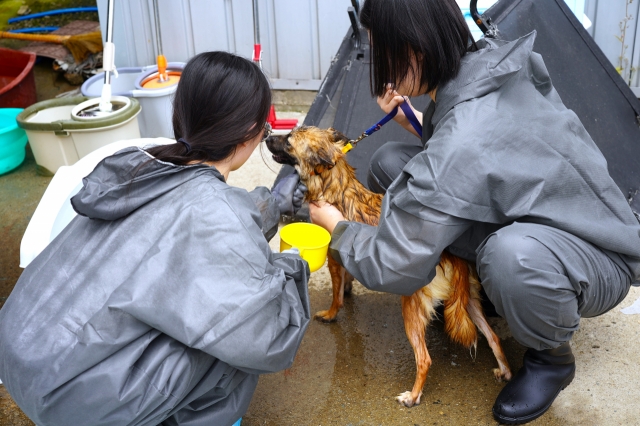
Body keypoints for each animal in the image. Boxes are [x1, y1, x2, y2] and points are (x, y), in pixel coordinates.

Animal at [264, 126, 510, 406]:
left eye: (289, 140)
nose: (267, 136)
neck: (335, 181)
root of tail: (450, 255)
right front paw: (348, 288)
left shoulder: (334, 260)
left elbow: (336, 295)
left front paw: (331, 313)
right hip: (468, 300)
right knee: (493, 337)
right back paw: (505, 371)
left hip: (412, 307)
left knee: (424, 359)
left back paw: (413, 396)